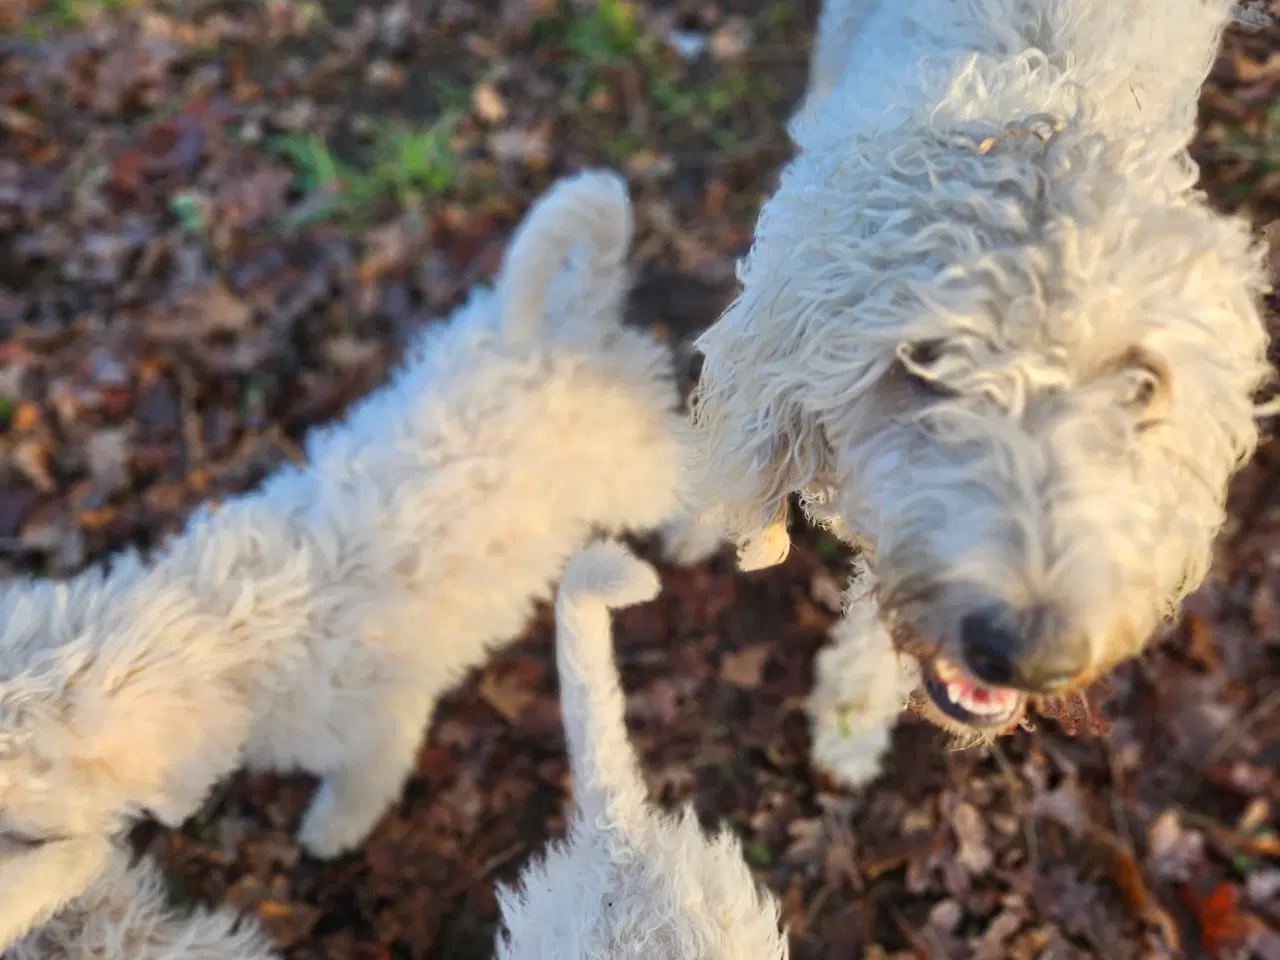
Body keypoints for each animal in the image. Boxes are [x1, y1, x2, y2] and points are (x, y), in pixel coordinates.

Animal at [0, 168, 701, 942]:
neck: (219, 632)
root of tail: (572, 316)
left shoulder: (380, 727)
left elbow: (362, 785)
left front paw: (331, 829)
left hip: (632, 472)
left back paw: (698, 535)